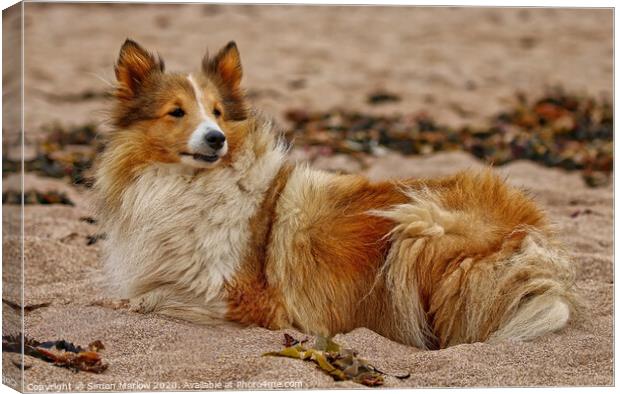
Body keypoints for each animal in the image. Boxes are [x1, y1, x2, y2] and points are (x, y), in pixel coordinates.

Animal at [94, 39, 580, 348]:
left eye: (216, 112)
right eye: (176, 112)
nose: (216, 139)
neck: (188, 185)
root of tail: (535, 233)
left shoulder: (248, 301)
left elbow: (151, 299)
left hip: (419, 222)